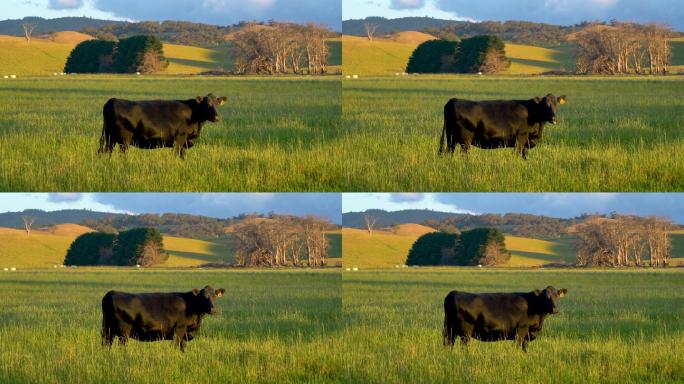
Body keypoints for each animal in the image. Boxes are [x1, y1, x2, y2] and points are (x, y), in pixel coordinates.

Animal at [99, 94, 228, 158]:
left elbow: (183, 156)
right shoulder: (180, 138)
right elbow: (177, 154)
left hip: (109, 138)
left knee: (106, 152)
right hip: (124, 139)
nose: (217, 117)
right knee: (122, 155)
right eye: (207, 104)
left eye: (217, 104)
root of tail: (113, 100)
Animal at [438, 94, 568, 158]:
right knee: (464, 155)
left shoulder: (526, 142)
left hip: (451, 138)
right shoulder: (521, 137)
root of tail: (454, 100)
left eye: (556, 104)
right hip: (465, 139)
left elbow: (525, 156)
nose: (554, 119)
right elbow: (517, 153)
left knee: (448, 153)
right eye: (545, 105)